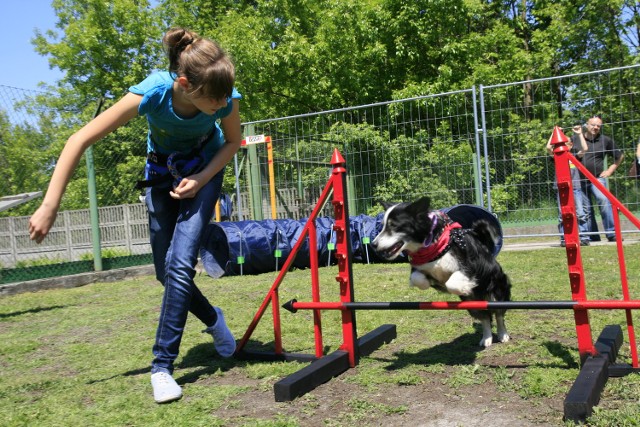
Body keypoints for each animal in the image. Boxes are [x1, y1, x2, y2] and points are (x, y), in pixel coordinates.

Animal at [370, 197, 510, 348]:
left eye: (394, 226)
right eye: (383, 226)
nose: (373, 244)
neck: (433, 244)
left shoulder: (471, 266)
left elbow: (452, 283)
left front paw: (461, 287)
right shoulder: (418, 267)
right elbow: (417, 278)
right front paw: (429, 283)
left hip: (497, 294)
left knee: (498, 314)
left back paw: (503, 334)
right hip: (472, 305)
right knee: (485, 317)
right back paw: (486, 338)